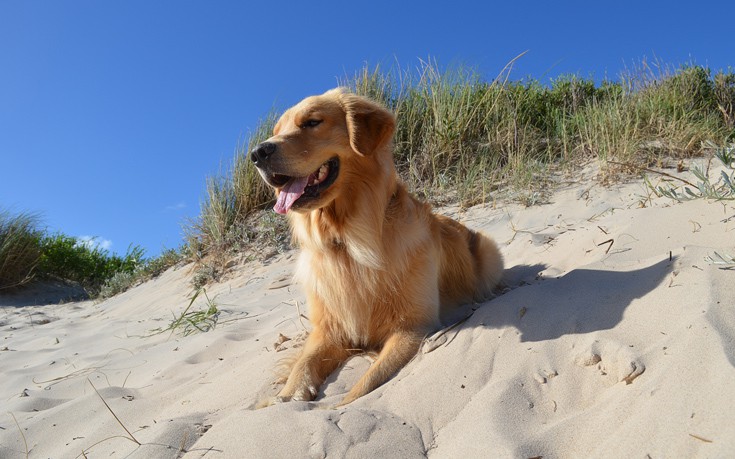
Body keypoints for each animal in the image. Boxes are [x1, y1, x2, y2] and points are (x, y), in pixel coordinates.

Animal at [250, 87, 504, 406]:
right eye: (276, 132)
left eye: (311, 122)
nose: (257, 154)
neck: (346, 242)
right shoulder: (328, 330)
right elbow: (301, 368)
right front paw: (285, 398)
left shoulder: (412, 327)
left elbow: (362, 388)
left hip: (489, 253)